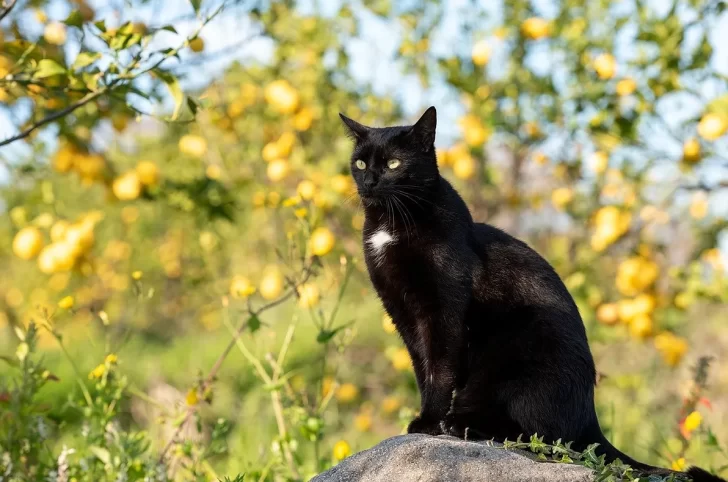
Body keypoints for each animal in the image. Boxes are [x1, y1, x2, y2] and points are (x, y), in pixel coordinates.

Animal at [342, 106, 728, 482]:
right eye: (360, 163)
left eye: (393, 164)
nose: (370, 181)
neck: (390, 225)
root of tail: (591, 420)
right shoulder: (403, 314)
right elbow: (423, 369)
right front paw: (426, 420)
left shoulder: (443, 311)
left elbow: (439, 369)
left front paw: (429, 423)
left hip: (522, 350)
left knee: (542, 435)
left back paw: (462, 425)